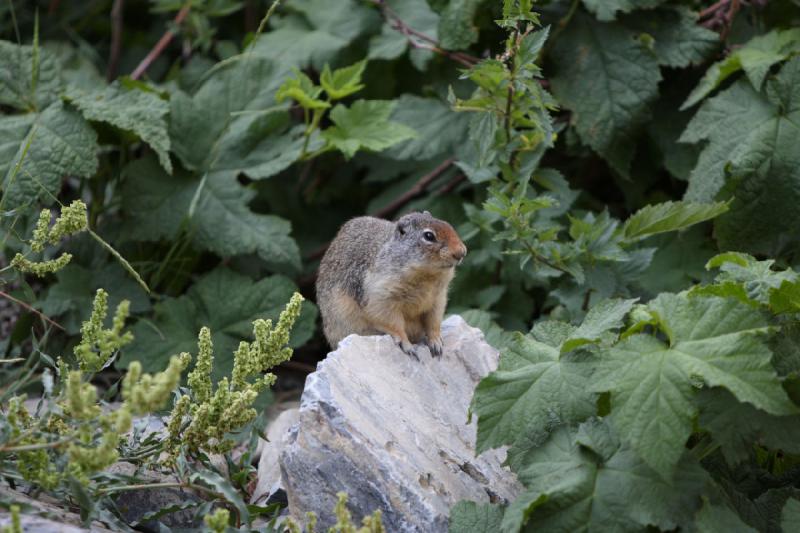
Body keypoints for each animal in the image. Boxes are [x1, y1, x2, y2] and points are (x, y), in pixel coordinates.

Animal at [318, 211, 468, 358]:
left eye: (448, 224)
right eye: (429, 236)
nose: (462, 252)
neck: (427, 277)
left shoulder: (438, 299)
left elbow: (433, 322)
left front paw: (436, 343)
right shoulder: (381, 299)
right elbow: (394, 325)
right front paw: (408, 347)